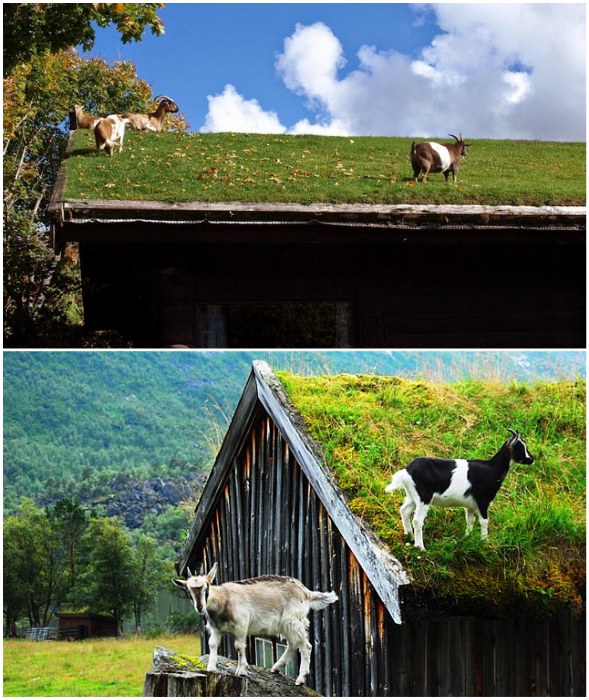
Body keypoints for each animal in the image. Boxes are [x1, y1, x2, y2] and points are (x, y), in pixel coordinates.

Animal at [172, 564, 338, 684]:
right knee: (292, 643)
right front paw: (211, 668)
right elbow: (212, 644)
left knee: (305, 645)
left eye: (207, 587)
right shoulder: (215, 629)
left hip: (293, 620)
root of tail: (306, 592)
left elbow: (239, 647)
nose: (200, 607)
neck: (224, 599)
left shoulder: (241, 625)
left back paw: (300, 679)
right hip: (285, 624)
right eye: (188, 590)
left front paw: (242, 671)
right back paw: (276, 668)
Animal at [384, 430, 536, 548]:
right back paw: (420, 547)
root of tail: (406, 471)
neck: (492, 469)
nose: (532, 459)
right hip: (424, 497)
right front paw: (485, 542)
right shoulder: (482, 501)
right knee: (417, 520)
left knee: (404, 510)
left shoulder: (470, 505)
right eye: (520, 447)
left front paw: (467, 538)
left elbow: (470, 521)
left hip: (412, 496)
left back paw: (409, 535)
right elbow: (484, 521)